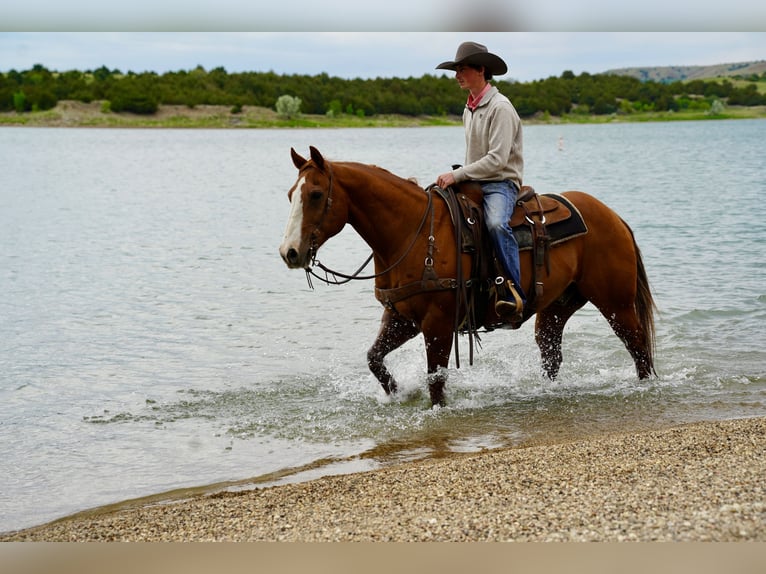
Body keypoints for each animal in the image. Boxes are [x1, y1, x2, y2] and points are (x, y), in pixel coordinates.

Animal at [279, 146, 656, 407]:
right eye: (290, 195)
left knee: (638, 346)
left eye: (316, 194)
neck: (413, 233)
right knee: (552, 353)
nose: (290, 252)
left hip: (616, 303)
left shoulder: (438, 323)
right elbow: (374, 359)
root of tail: (612, 215)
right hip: (557, 307)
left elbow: (436, 380)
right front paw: (399, 393)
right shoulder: (401, 317)